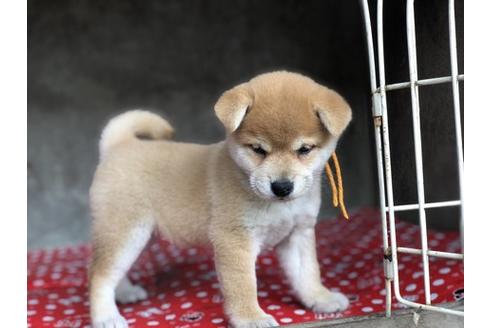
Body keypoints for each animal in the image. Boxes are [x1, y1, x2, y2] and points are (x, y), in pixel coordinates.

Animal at [88, 72, 350, 328]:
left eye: (305, 149)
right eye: (258, 149)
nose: (282, 186)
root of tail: (119, 145)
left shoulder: (297, 233)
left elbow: (308, 274)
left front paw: (321, 298)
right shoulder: (234, 239)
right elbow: (244, 286)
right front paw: (251, 318)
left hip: (140, 236)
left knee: (114, 270)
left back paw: (125, 293)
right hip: (125, 232)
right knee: (99, 275)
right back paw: (106, 316)